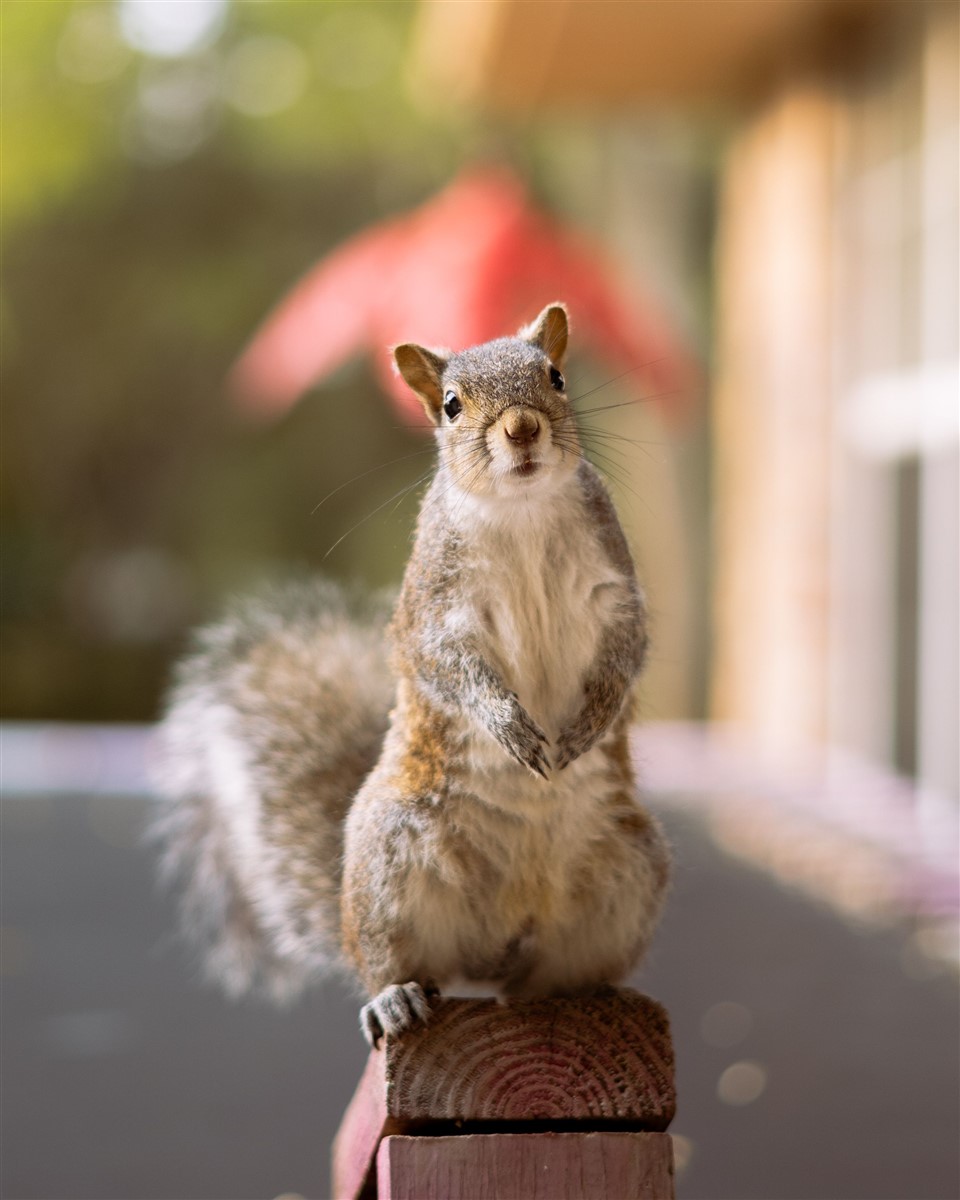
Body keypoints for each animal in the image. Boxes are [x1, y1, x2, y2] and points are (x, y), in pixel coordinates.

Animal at [153, 304, 672, 1046]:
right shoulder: (437, 607)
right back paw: (394, 998)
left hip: (627, 874)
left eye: (556, 377)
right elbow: (451, 666)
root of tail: (494, 947)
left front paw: (586, 725)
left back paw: (593, 995)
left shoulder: (615, 592)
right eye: (451, 405)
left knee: (541, 981)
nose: (522, 428)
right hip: (389, 866)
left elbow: (624, 654)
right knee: (389, 960)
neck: (521, 510)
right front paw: (510, 725)